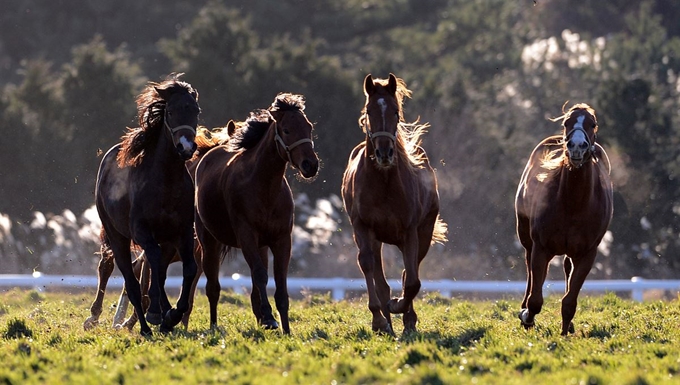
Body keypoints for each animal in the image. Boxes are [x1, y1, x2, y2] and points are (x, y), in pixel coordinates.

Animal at [84, 76, 199, 334]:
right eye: (171, 111)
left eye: (195, 111)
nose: (186, 147)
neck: (166, 181)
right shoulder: (142, 231)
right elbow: (150, 265)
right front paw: (157, 312)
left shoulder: (183, 232)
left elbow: (189, 268)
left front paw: (173, 313)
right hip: (117, 235)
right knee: (127, 277)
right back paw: (144, 325)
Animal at [193, 94, 318, 332]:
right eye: (286, 130)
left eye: (309, 127)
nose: (311, 165)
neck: (265, 188)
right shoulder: (246, 235)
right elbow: (260, 276)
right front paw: (269, 317)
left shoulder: (281, 239)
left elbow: (280, 281)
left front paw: (286, 327)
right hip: (209, 241)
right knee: (213, 287)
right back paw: (213, 326)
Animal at [340, 74, 446, 332]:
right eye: (369, 111)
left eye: (396, 112)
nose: (384, 153)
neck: (384, 183)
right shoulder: (362, 227)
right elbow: (368, 266)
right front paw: (379, 319)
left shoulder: (410, 232)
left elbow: (412, 280)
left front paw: (401, 309)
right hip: (375, 238)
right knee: (381, 278)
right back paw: (387, 320)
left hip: (422, 234)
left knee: (410, 273)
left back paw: (404, 316)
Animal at [516, 103, 616, 334]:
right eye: (566, 123)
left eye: (592, 123)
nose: (577, 146)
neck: (573, 204)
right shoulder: (541, 247)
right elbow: (536, 299)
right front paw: (527, 317)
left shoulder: (587, 253)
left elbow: (570, 300)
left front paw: (564, 331)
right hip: (526, 238)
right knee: (529, 268)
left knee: (567, 270)